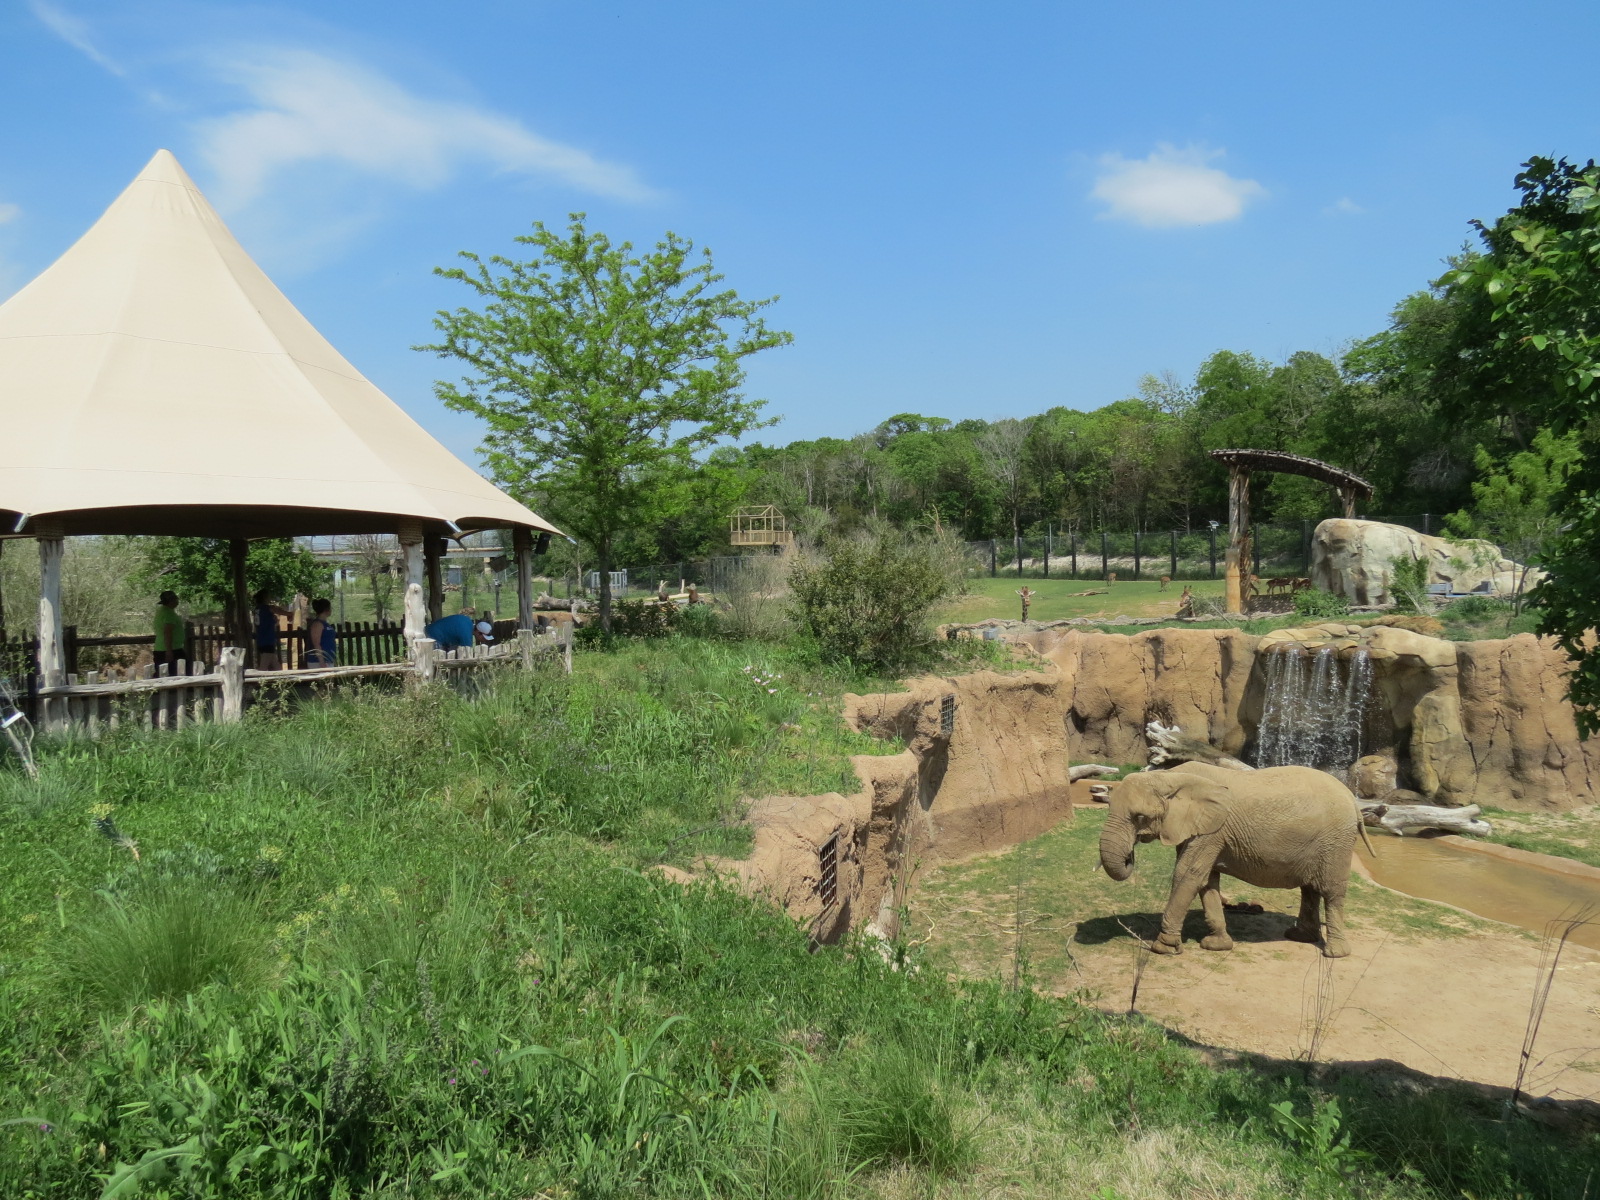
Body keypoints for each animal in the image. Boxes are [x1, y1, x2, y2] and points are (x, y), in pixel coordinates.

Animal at [1098, 762, 1372, 958]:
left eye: (1139, 817)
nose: (1130, 855)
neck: (1170, 776)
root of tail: (1353, 800)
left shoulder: (1211, 831)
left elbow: (1187, 875)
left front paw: (1164, 949)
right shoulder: (1201, 830)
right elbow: (1206, 880)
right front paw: (1216, 945)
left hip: (1336, 842)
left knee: (1331, 891)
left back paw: (1334, 953)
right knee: (1310, 889)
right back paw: (1299, 936)